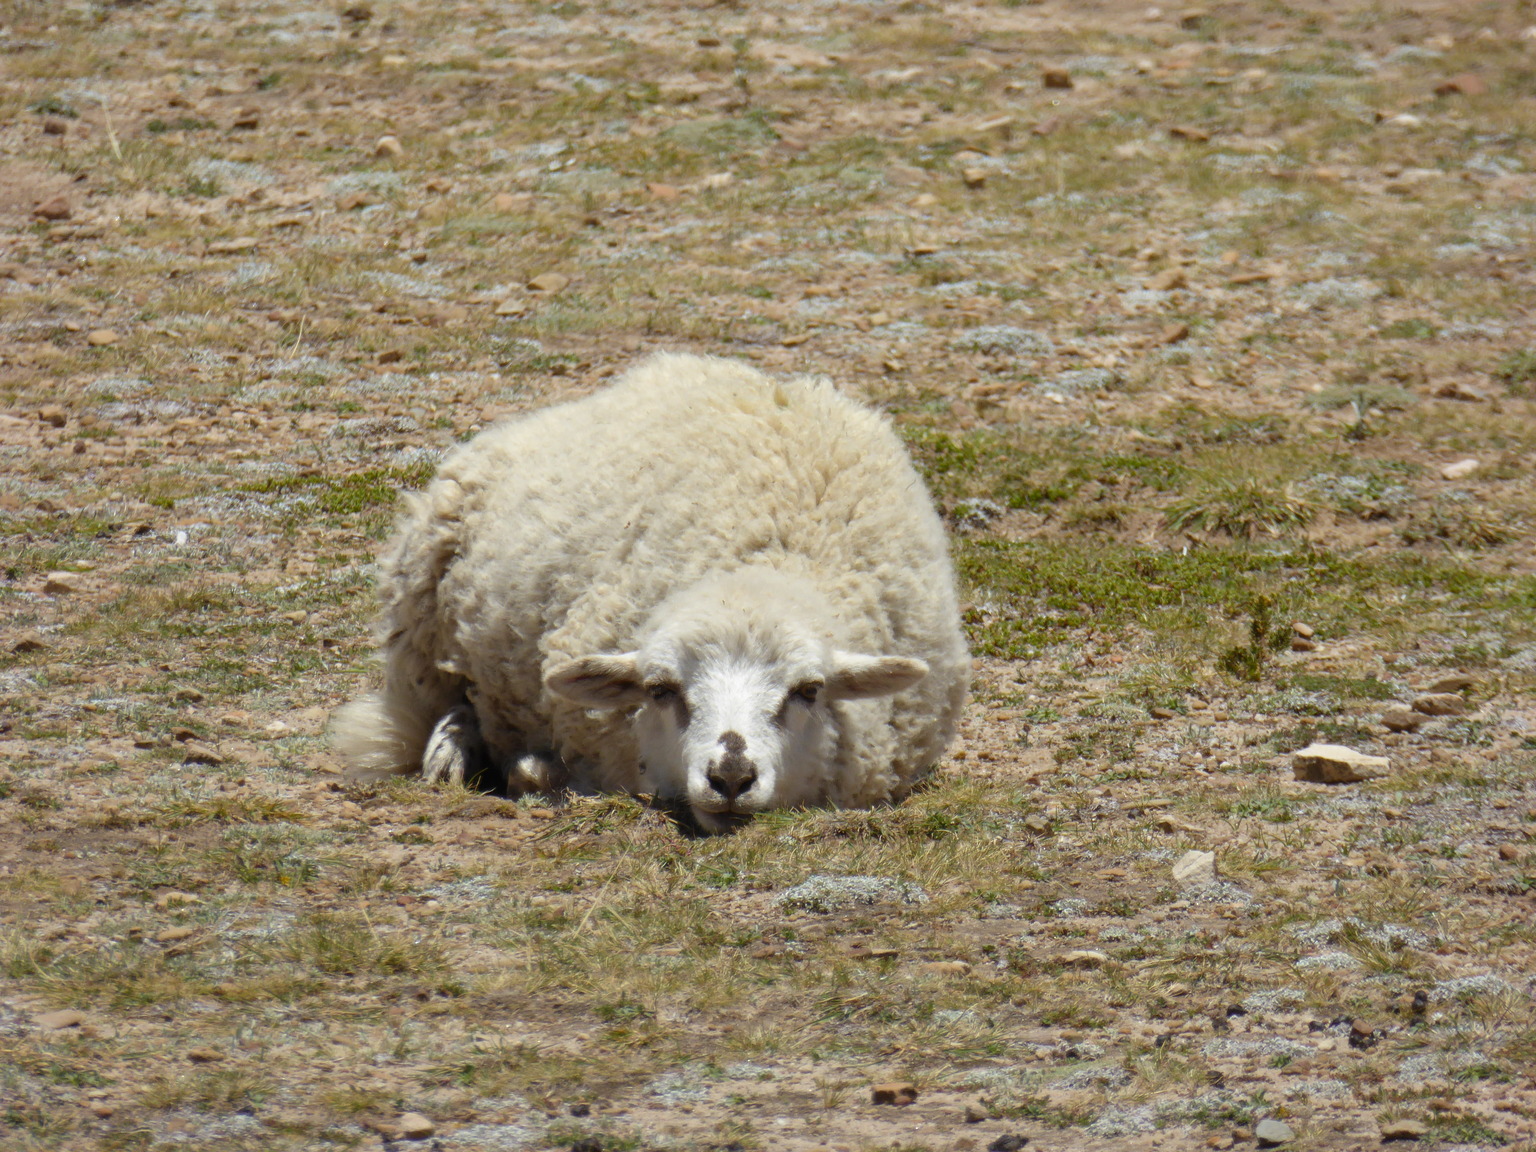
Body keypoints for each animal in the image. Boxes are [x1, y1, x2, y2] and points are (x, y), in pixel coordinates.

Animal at [330, 352, 969, 833]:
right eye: (661, 691)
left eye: (808, 691)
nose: (730, 777)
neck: (764, 560)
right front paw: (529, 771)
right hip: (420, 617)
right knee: (443, 701)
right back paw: (453, 750)